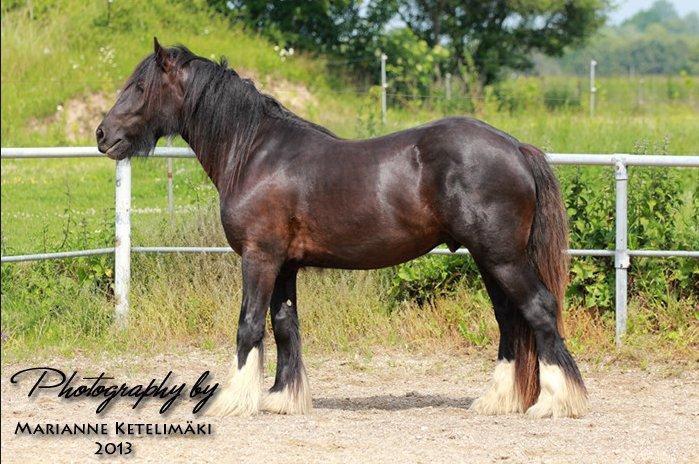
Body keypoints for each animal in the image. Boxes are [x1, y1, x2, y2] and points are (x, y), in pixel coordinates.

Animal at [97, 39, 592, 416]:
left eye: (139, 86)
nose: (103, 134)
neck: (255, 151)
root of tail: (515, 147)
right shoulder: (285, 264)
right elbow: (285, 325)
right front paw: (282, 399)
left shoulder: (260, 257)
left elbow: (249, 325)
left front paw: (235, 401)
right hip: (490, 260)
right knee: (509, 319)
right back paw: (497, 400)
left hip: (502, 257)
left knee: (539, 309)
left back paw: (554, 402)